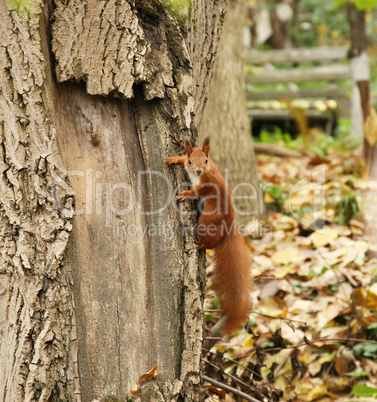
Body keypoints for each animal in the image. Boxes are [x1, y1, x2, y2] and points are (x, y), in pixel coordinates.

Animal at [164, 137, 253, 334]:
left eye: (205, 160)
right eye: (191, 161)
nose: (198, 170)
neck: (201, 174)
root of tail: (230, 223)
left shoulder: (207, 184)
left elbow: (195, 192)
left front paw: (184, 193)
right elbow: (182, 158)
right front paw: (174, 158)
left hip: (206, 220)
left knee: (212, 242)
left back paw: (202, 244)